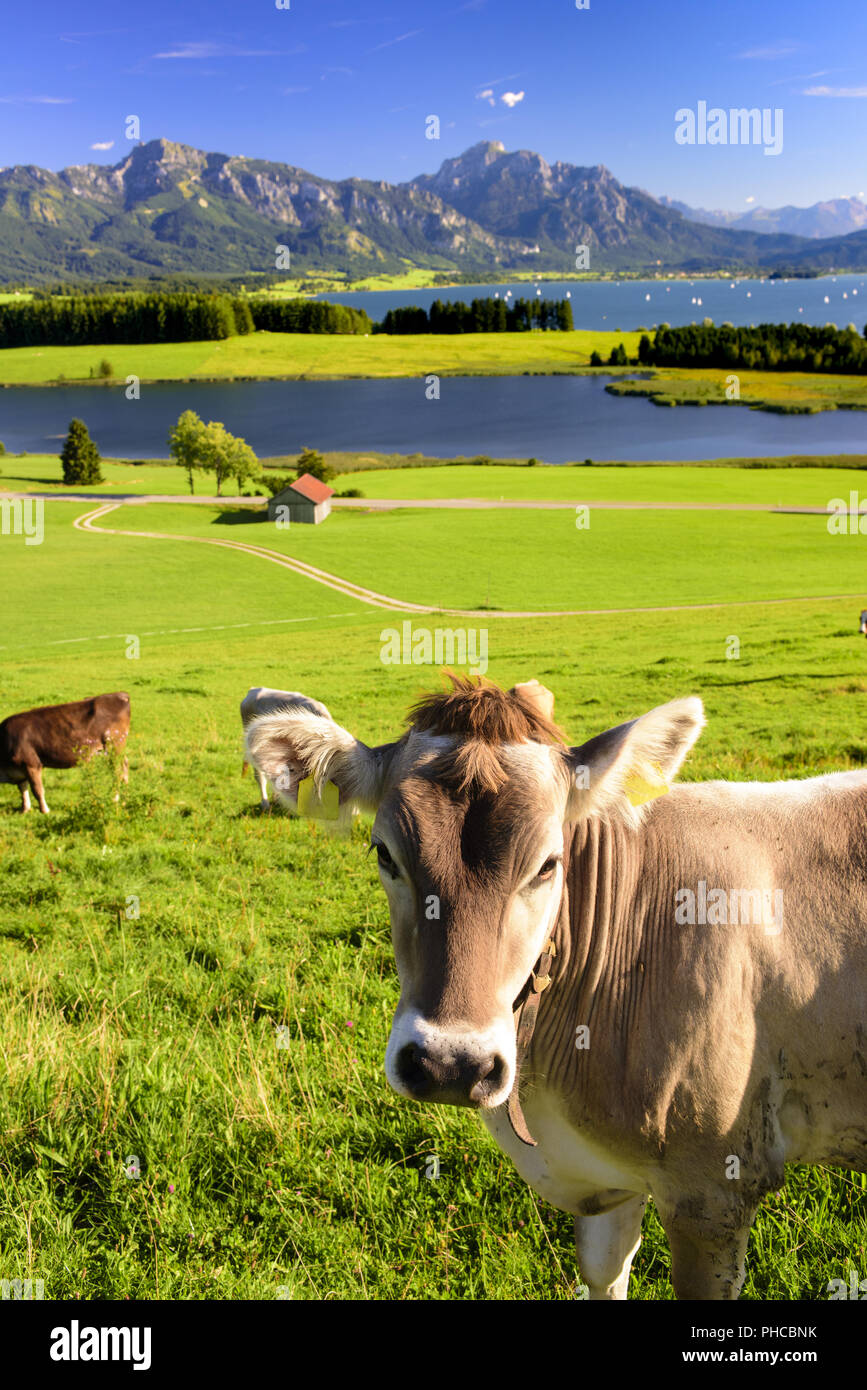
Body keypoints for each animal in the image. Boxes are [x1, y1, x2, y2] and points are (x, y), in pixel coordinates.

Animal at [0, 693, 130, 814]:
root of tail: (120, 694)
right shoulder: (19, 769)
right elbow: (23, 789)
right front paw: (25, 809)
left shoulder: (31, 763)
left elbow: (37, 789)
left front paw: (44, 810)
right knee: (125, 765)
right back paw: (125, 794)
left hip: (113, 747)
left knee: (117, 773)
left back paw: (115, 799)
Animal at [245, 674, 867, 1301]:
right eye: (384, 853)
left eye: (548, 864)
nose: (450, 1064)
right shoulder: (608, 1183)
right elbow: (604, 1273)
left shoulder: (712, 1190)